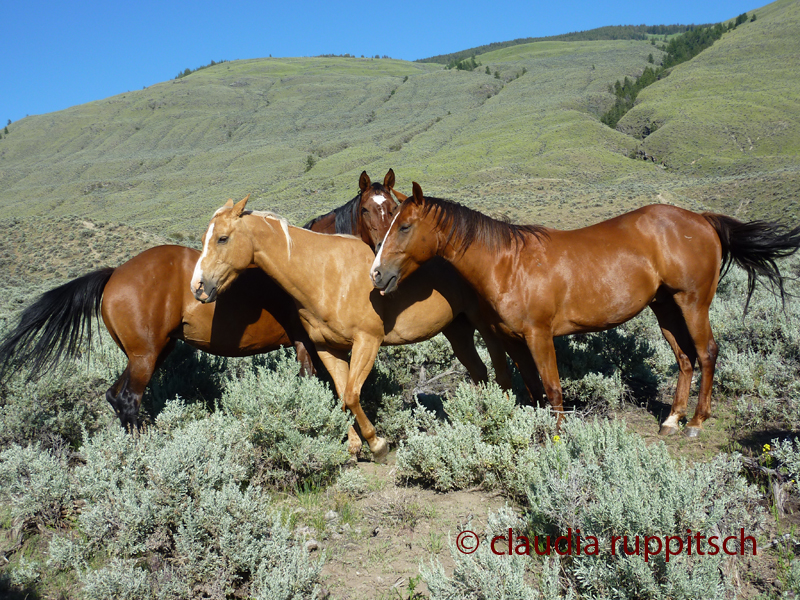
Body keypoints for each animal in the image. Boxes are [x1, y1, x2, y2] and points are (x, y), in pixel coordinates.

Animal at [190, 197, 510, 460]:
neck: (324, 275)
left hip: (484, 324)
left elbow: (352, 394)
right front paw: (354, 445)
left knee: (498, 363)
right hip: (457, 328)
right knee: (478, 370)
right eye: (205, 238)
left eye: (222, 238)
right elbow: (342, 394)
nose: (198, 287)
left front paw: (377, 445)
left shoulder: (367, 342)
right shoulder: (327, 348)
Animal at [372, 183, 800, 436]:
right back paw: (672, 419)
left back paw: (696, 421)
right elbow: (533, 389)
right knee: (684, 357)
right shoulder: (513, 340)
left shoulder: (539, 335)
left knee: (707, 352)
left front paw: (558, 438)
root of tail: (702, 220)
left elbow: (552, 388)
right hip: (664, 307)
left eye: (405, 226)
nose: (377, 274)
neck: (507, 263)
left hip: (692, 302)